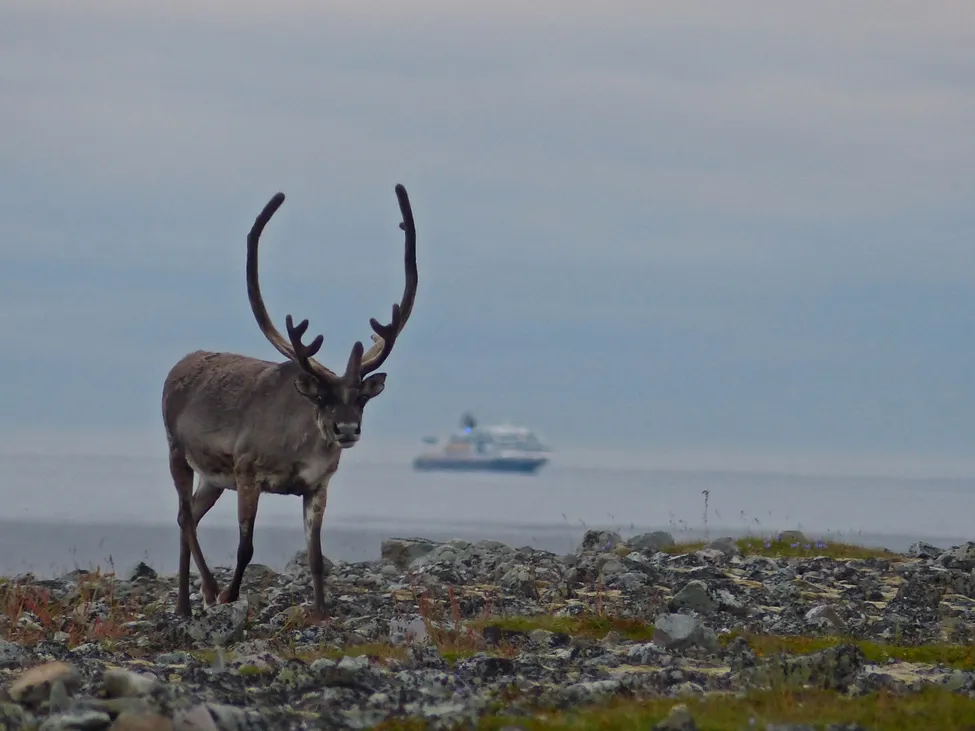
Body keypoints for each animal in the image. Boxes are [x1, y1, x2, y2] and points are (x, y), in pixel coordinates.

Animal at [161, 184, 417, 619]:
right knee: (184, 516)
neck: (300, 447)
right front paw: (230, 596)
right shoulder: (247, 473)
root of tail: (179, 365)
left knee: (187, 515)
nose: (347, 429)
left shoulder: (318, 487)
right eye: (323, 397)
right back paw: (205, 594)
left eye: (361, 398)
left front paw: (321, 613)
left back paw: (184, 604)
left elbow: (315, 557)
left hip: (213, 478)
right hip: (178, 451)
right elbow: (245, 547)